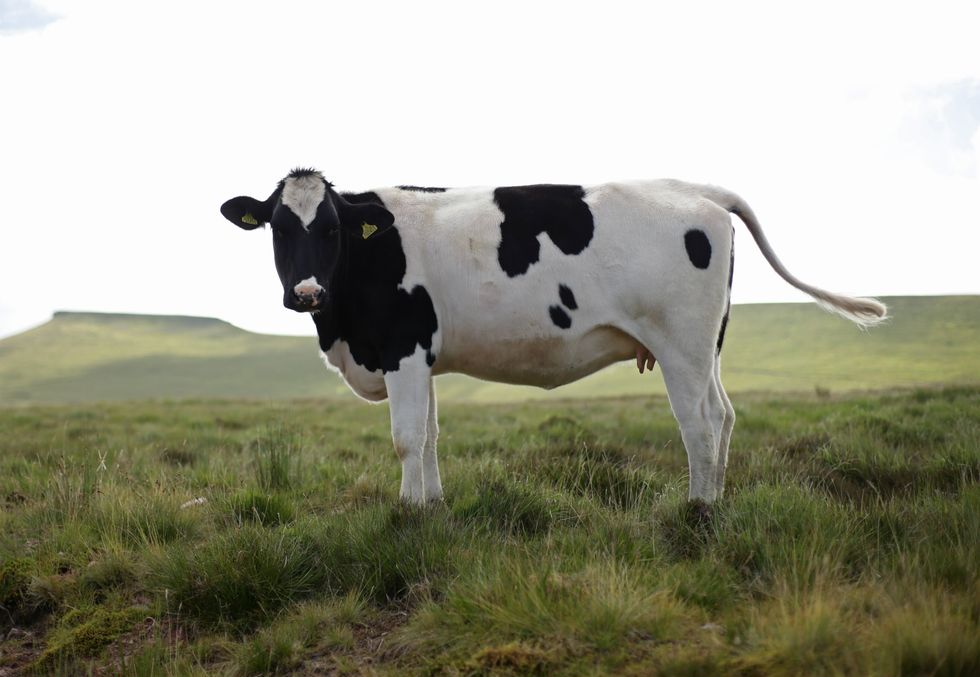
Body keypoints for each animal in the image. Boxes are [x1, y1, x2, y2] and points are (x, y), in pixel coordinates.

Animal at [220, 168, 886, 505]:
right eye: (279, 227)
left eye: (331, 228)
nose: (307, 292)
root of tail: (691, 188)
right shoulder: (423, 356)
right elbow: (431, 437)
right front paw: (433, 508)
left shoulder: (402, 348)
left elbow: (407, 439)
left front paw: (407, 513)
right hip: (706, 347)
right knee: (722, 416)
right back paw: (716, 500)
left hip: (680, 344)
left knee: (698, 423)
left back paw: (698, 509)